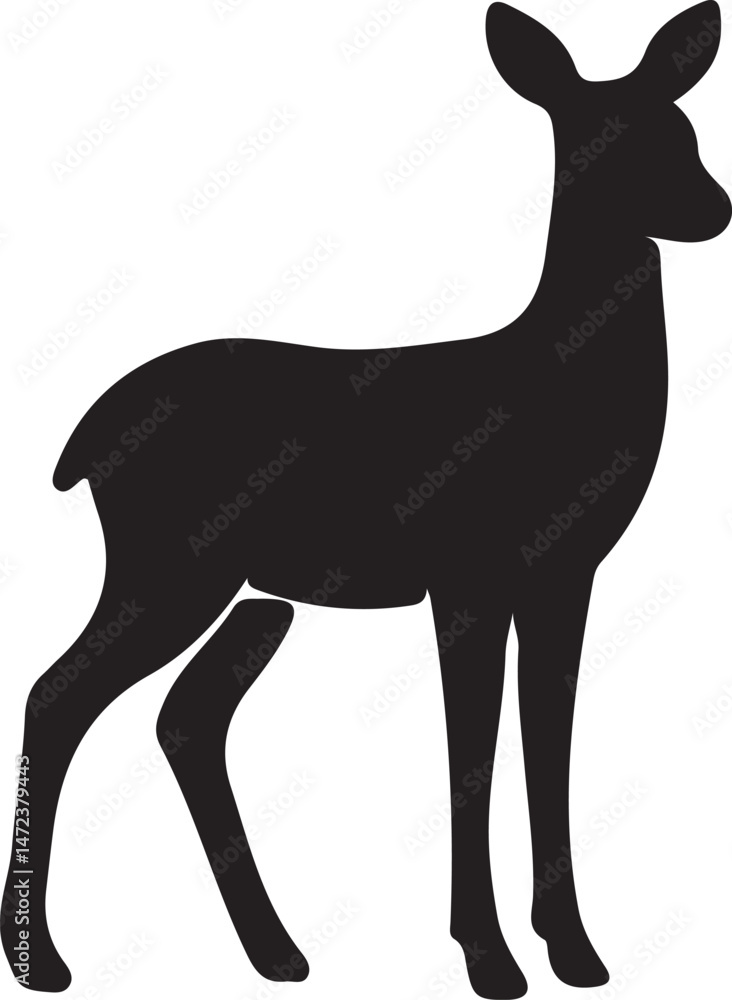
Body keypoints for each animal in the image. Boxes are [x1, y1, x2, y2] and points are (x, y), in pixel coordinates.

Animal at [2, 3, 729, 997]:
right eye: (596, 140)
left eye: (684, 129)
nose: (715, 209)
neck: (554, 381)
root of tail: (79, 445)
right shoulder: (467, 578)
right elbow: (473, 751)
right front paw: (491, 960)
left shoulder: (563, 576)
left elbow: (550, 740)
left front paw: (577, 953)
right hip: (171, 572)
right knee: (58, 694)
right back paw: (45, 959)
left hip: (254, 598)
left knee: (183, 715)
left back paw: (278, 953)